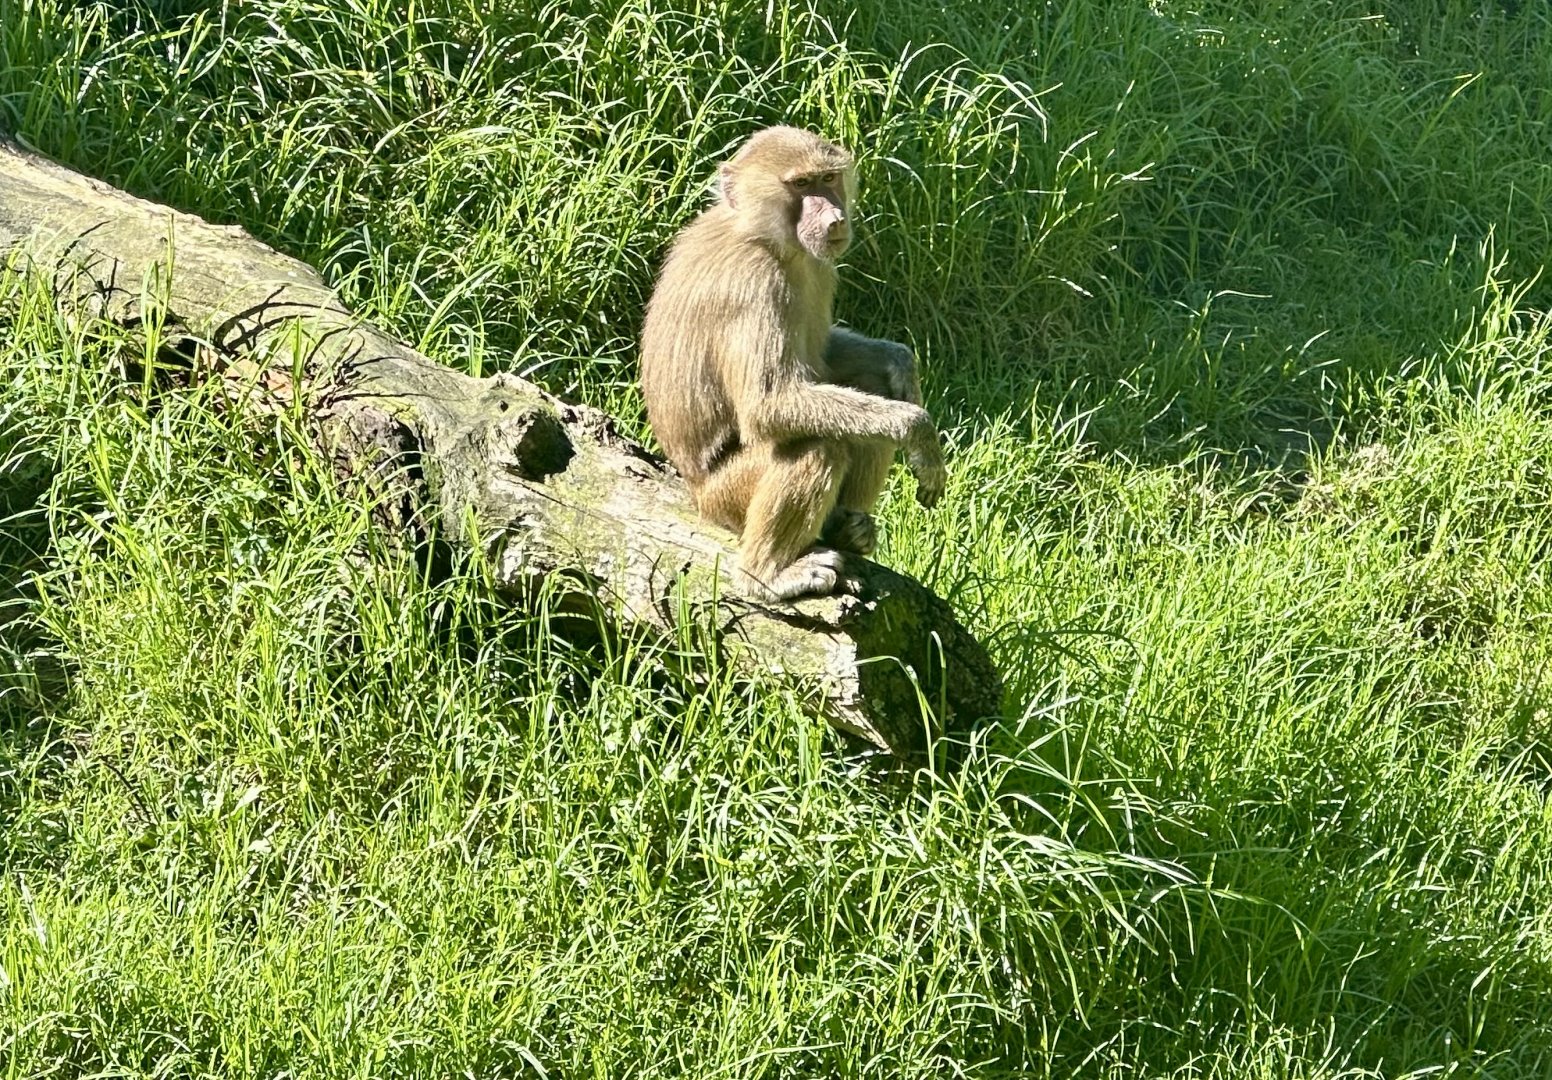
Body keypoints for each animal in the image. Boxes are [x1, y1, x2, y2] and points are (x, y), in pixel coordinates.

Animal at [640, 126, 946, 602]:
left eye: (828, 179)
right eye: (801, 185)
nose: (836, 219)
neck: (763, 237)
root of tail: (695, 492)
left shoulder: (817, 270)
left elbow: (829, 361)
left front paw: (902, 365)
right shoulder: (753, 285)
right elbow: (768, 405)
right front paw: (919, 431)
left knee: (867, 392)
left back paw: (846, 528)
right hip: (727, 498)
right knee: (819, 444)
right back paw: (766, 576)